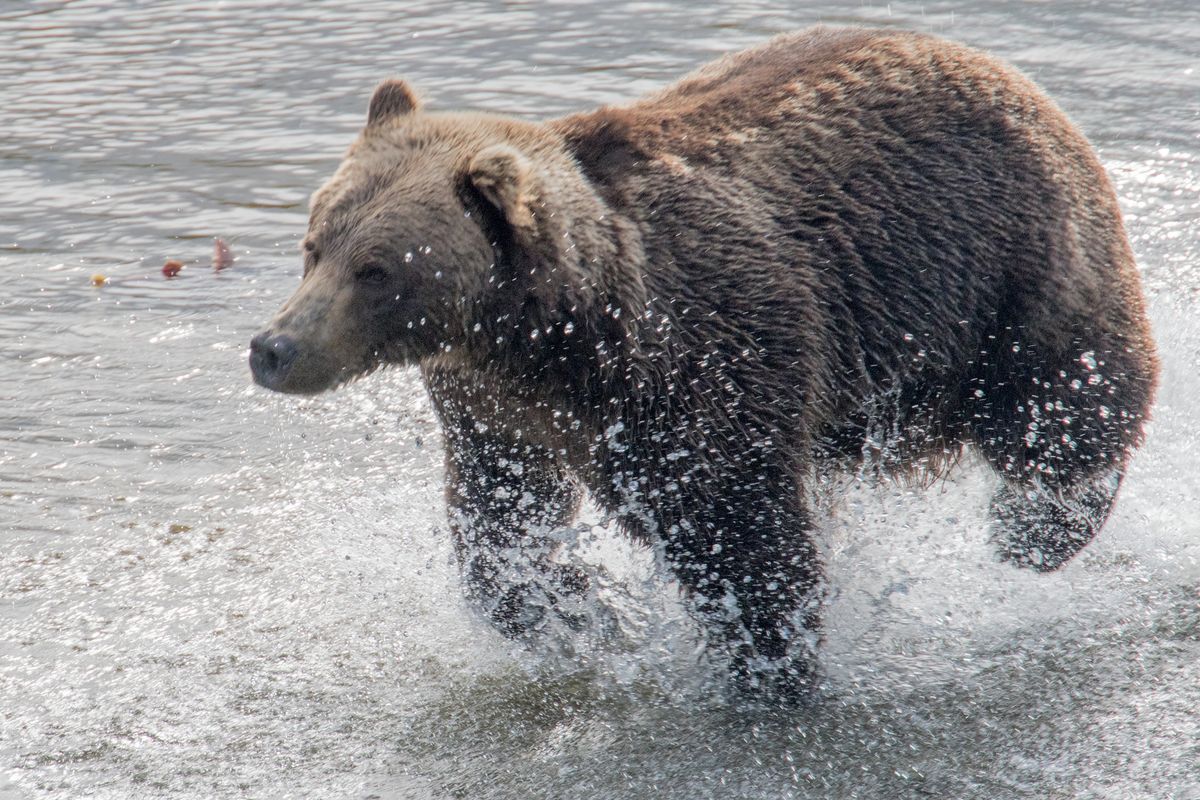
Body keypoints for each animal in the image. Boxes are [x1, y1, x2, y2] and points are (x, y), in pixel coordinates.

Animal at [248, 26, 1156, 700]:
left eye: (377, 270)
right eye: (314, 244)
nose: (273, 349)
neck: (553, 332)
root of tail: (1012, 74)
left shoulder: (698, 357)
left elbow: (734, 521)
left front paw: (768, 662)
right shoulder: (495, 405)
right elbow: (502, 517)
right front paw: (573, 612)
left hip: (1013, 268)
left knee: (1067, 408)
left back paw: (1035, 531)